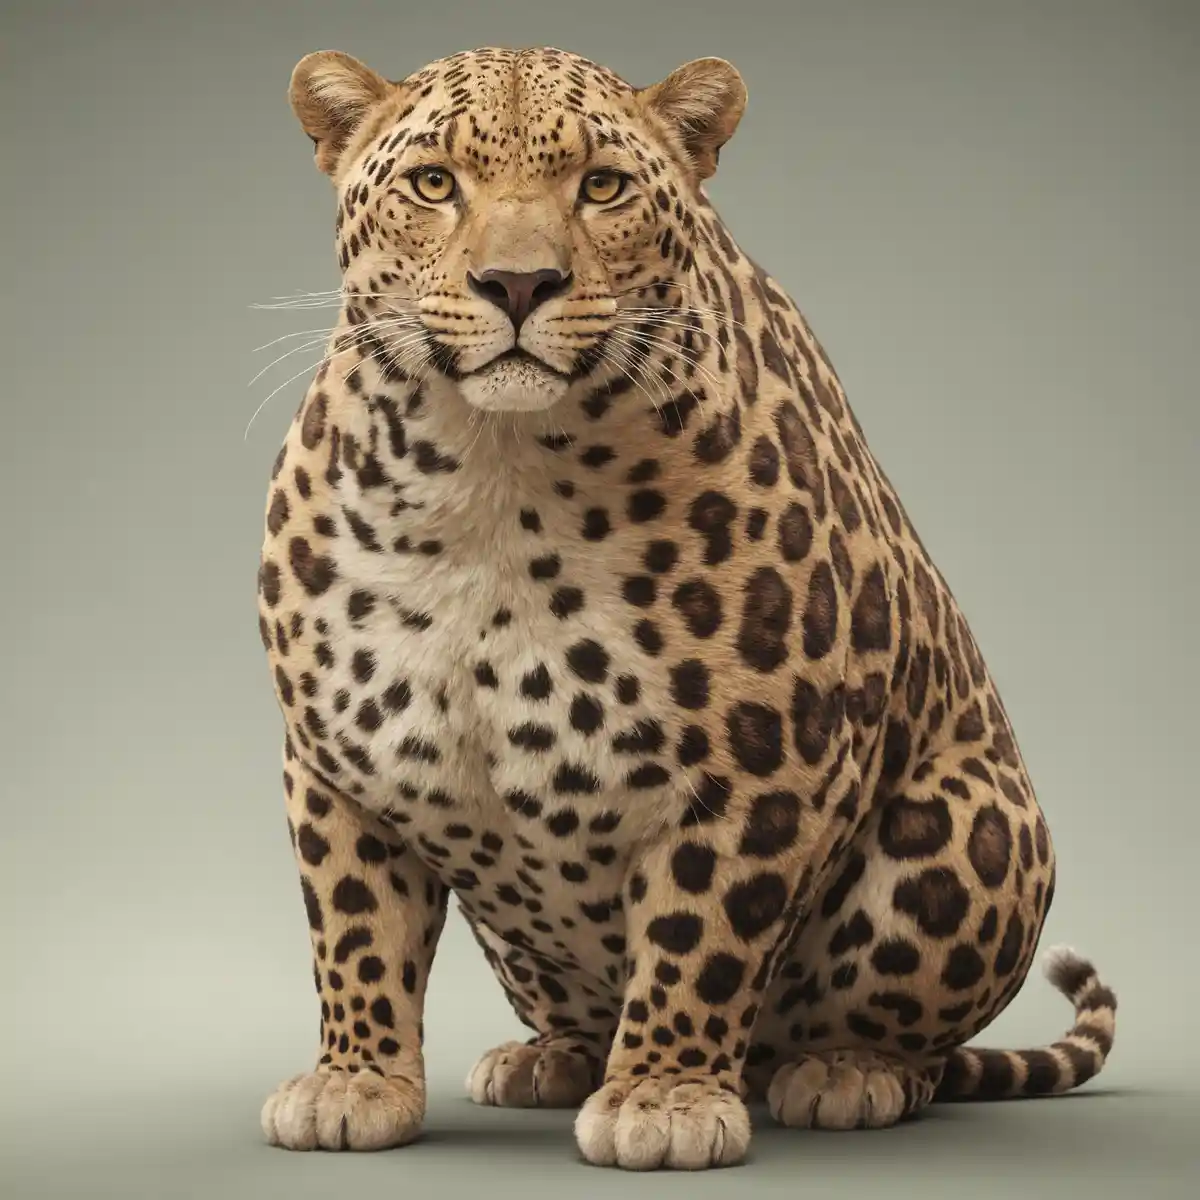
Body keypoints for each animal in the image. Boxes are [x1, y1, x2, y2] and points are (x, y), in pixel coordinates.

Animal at [255, 45, 1118, 1171]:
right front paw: (355, 1081)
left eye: (602, 187)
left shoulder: (760, 767)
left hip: (975, 818)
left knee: (903, 1042)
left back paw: (845, 1071)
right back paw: (551, 1059)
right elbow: (356, 929)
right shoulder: (334, 763)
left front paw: (663, 1098)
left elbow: (699, 936)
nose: (519, 283)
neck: (492, 472)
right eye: (435, 183)